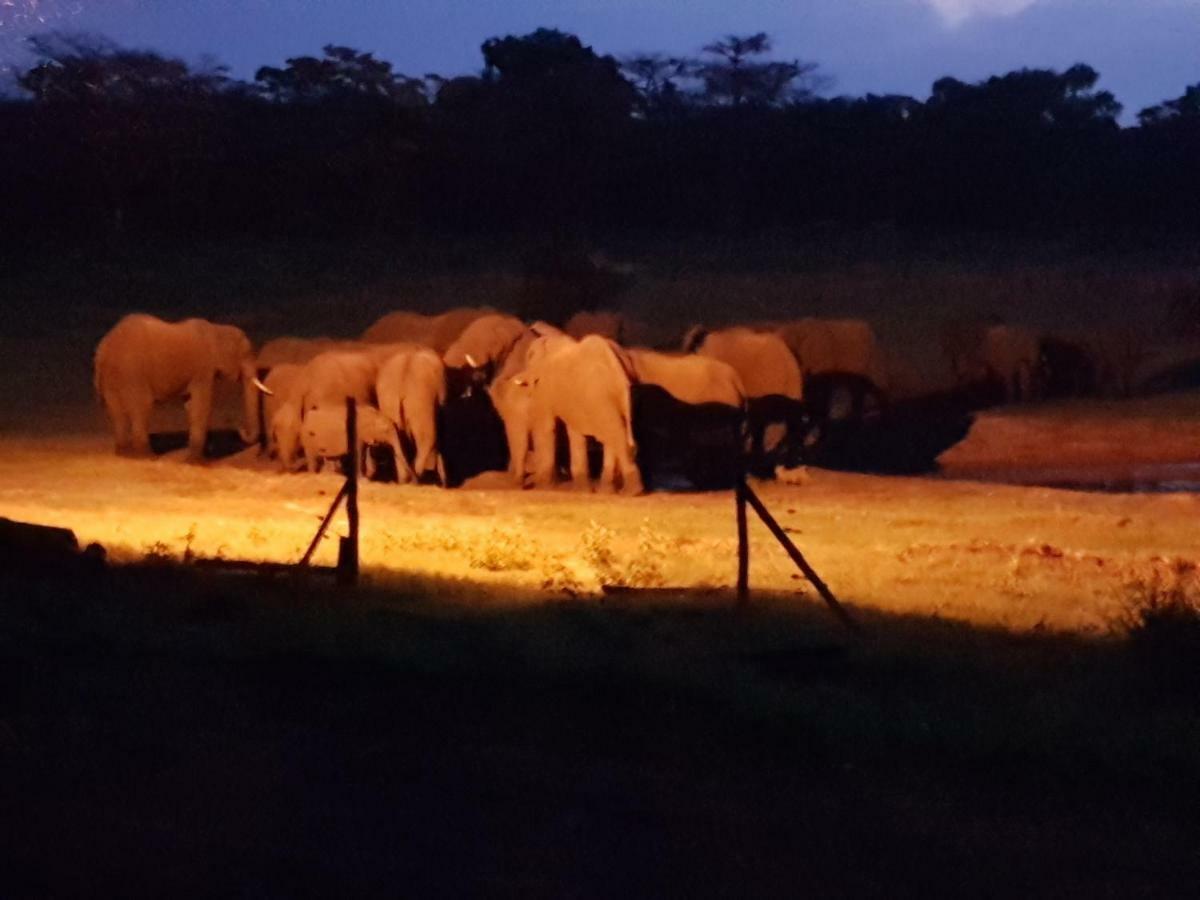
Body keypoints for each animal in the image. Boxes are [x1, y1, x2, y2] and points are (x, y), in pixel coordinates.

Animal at [93, 314, 262, 460]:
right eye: (246, 354)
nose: (240, 429)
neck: (218, 329)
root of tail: (105, 346)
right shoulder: (203, 368)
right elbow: (201, 404)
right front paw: (196, 461)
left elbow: (191, 404)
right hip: (132, 372)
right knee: (142, 406)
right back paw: (148, 457)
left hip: (112, 376)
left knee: (116, 411)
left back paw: (124, 454)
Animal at [376, 345, 448, 487]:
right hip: (421, 401)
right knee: (428, 438)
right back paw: (417, 480)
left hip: (388, 401)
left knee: (398, 442)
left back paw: (405, 480)